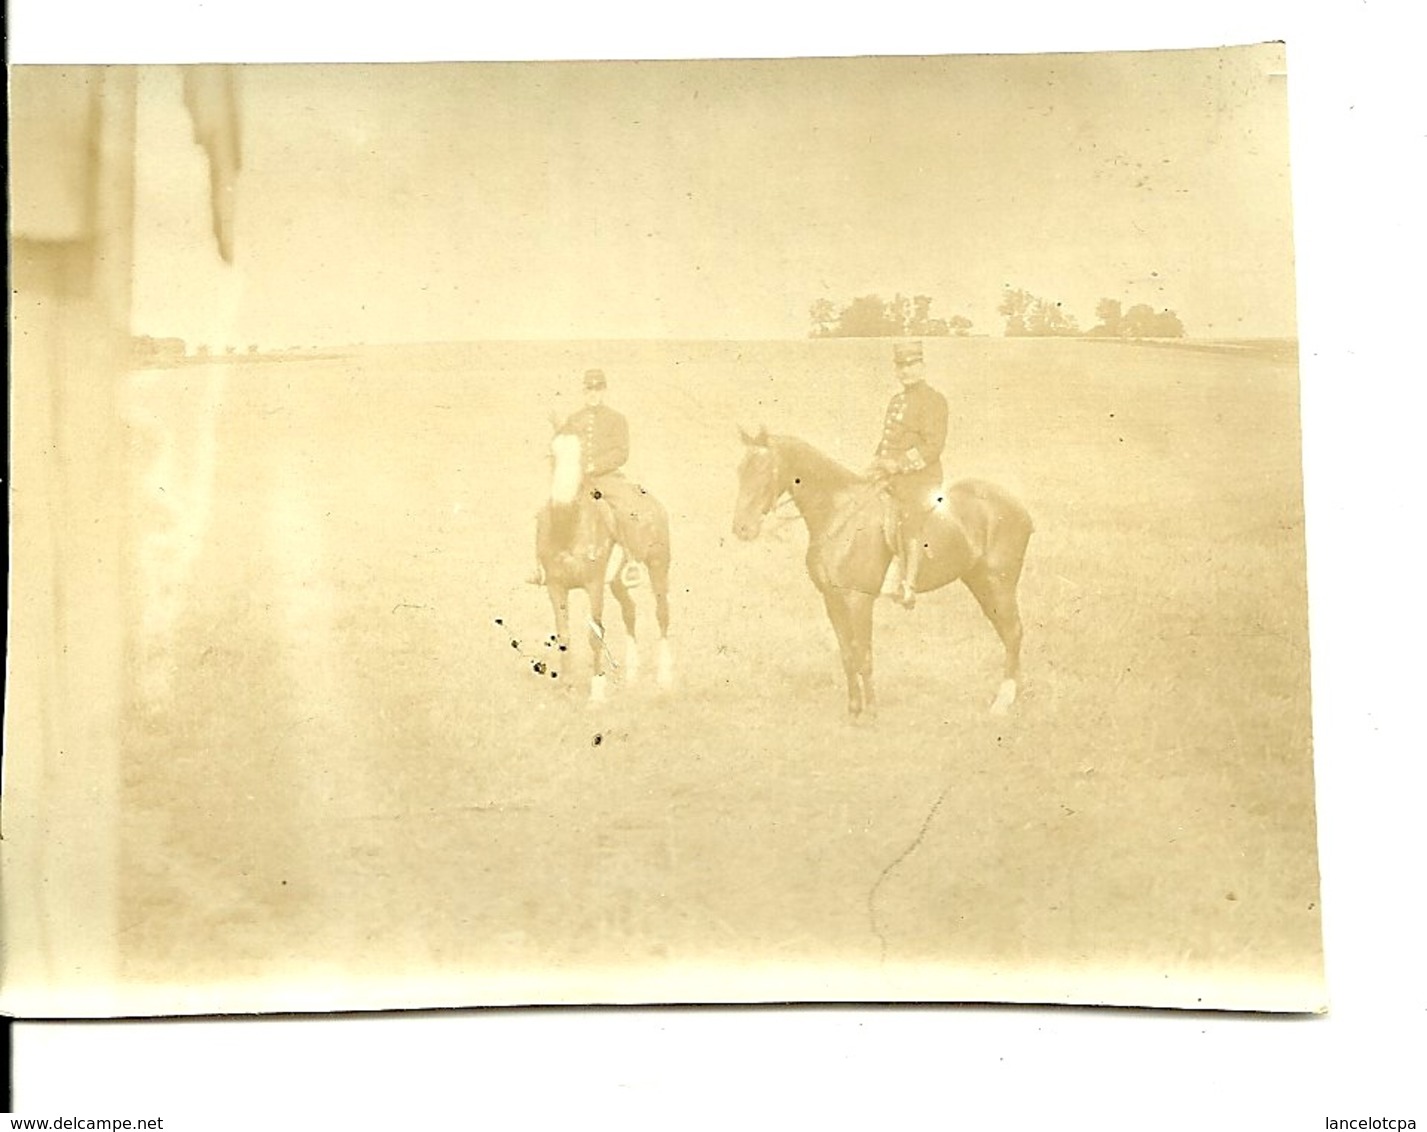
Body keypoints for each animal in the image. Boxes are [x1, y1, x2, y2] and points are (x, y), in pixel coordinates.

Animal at [536, 431, 673, 696]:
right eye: (552, 455)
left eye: (581, 456)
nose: (563, 497)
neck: (568, 530)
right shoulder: (555, 586)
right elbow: (564, 635)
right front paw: (566, 686)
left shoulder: (594, 585)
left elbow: (595, 634)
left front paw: (597, 692)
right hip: (618, 582)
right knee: (630, 610)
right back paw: (631, 675)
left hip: (658, 566)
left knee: (662, 613)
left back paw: (664, 677)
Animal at [730, 428, 1033, 719]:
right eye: (740, 470)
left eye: (763, 470)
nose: (741, 529)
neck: (840, 516)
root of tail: (1019, 507)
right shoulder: (833, 600)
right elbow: (847, 655)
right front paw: (854, 711)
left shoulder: (859, 600)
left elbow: (863, 657)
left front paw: (872, 713)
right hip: (980, 583)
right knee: (1007, 633)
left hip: (999, 584)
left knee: (1014, 632)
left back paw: (1003, 702)